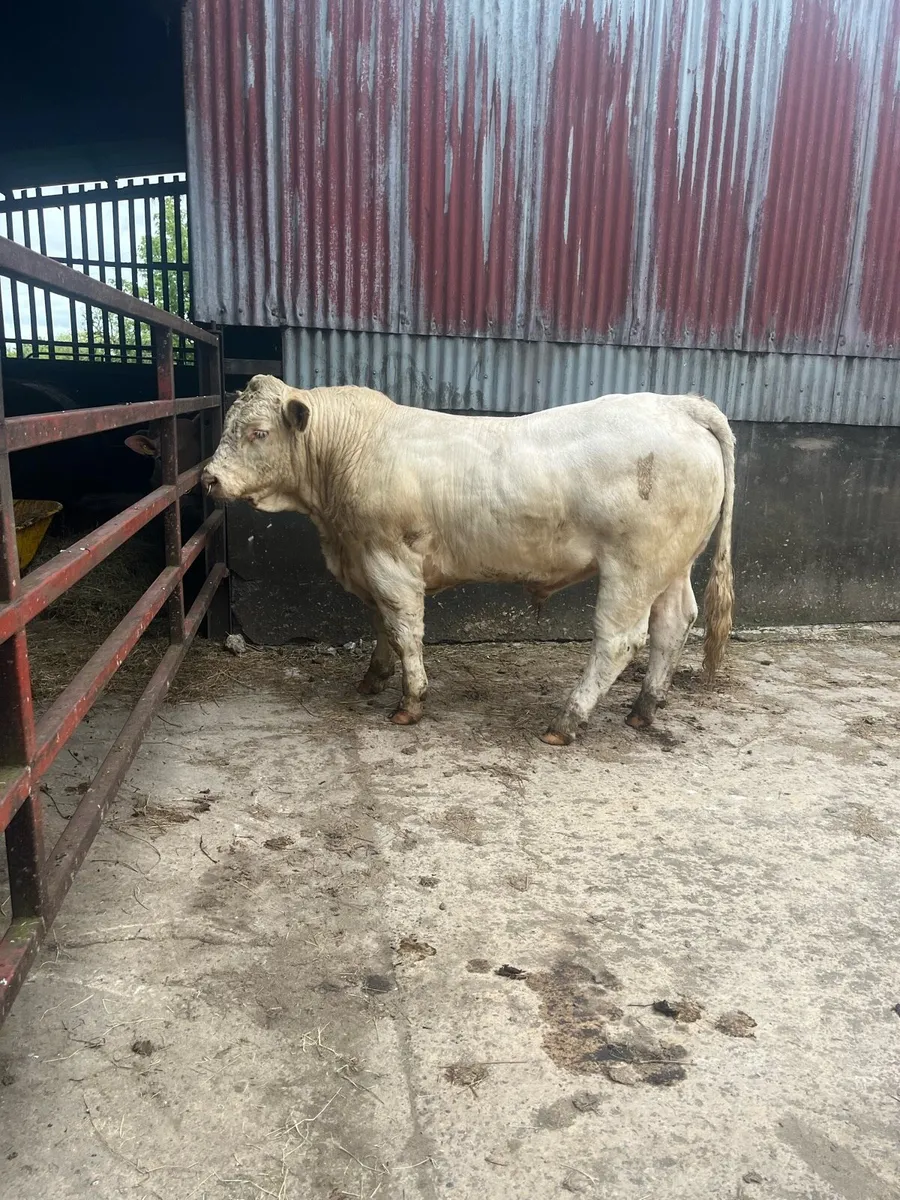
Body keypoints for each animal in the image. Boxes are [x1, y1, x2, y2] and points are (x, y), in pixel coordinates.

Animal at [202, 376, 735, 745]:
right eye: (227, 426)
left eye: (258, 432)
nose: (209, 479)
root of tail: (677, 404)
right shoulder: (365, 558)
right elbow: (379, 624)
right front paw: (373, 678)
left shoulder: (389, 558)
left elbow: (403, 628)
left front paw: (410, 701)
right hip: (671, 564)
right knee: (674, 623)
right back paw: (644, 708)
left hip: (633, 566)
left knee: (619, 639)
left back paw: (567, 720)